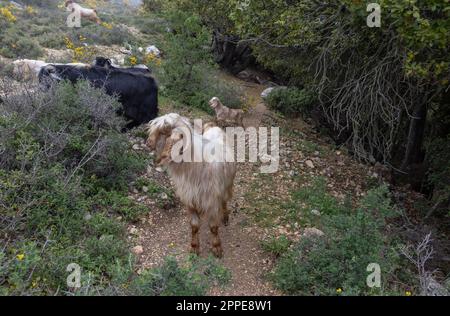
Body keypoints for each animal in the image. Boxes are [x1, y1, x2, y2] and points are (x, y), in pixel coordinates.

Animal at [147, 113, 239, 256]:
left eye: (162, 132)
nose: (148, 143)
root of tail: (213, 126)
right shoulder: (190, 200)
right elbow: (194, 226)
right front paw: (194, 247)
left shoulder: (212, 200)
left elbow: (213, 227)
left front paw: (217, 247)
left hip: (227, 185)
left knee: (224, 200)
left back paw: (225, 216)